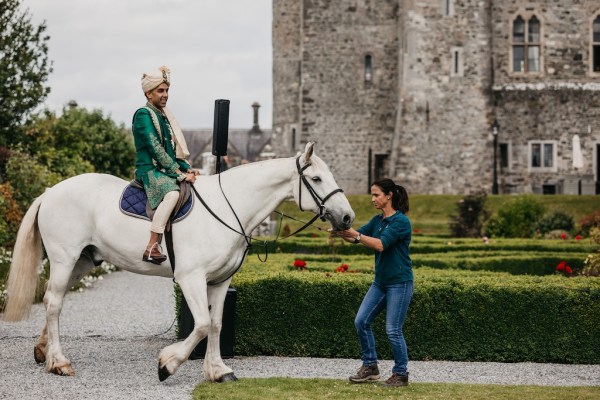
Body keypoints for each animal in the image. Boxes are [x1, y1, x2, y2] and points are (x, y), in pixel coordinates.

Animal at [3, 142, 352, 382]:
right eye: (316, 179)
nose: (347, 217)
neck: (229, 207)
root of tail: (51, 191)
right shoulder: (191, 278)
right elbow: (202, 324)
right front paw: (168, 364)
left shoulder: (219, 281)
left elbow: (216, 324)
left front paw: (217, 370)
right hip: (65, 259)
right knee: (53, 303)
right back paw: (59, 362)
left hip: (82, 263)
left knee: (54, 298)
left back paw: (43, 351)